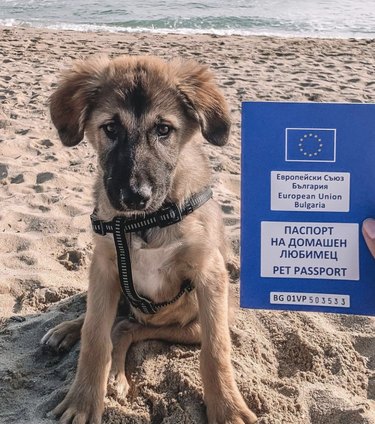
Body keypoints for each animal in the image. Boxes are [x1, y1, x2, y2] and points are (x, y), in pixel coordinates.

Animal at [42, 56, 258, 424]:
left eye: (163, 130)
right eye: (110, 128)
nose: (134, 197)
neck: (146, 221)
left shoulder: (210, 274)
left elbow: (216, 351)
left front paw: (228, 409)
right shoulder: (104, 267)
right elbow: (94, 337)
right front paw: (83, 401)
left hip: (190, 322)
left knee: (127, 327)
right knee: (107, 321)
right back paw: (66, 331)